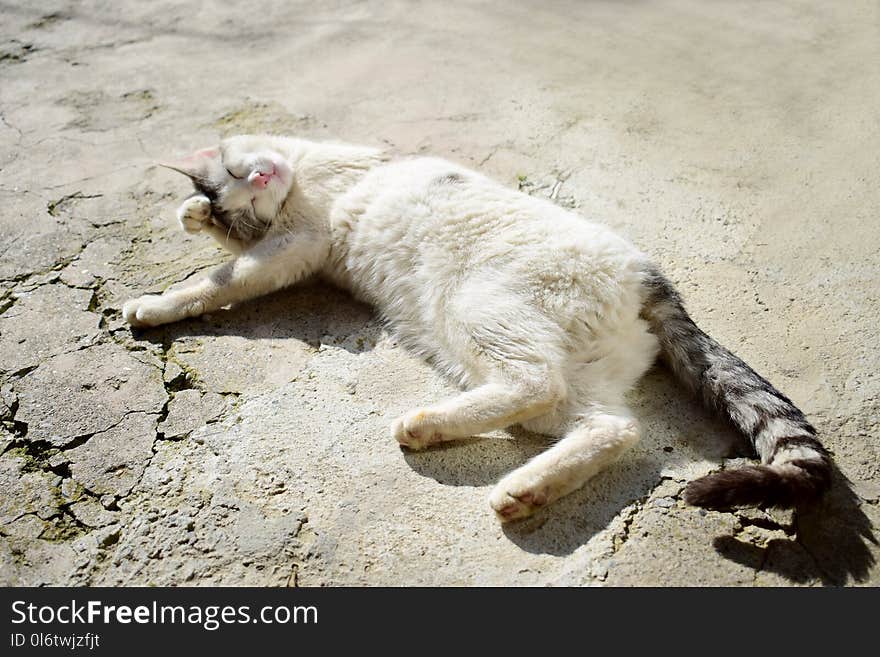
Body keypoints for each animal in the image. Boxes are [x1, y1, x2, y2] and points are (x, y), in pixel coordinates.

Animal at [124, 136, 832, 520]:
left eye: (237, 175)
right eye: (240, 194)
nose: (260, 175)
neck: (304, 182)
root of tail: (646, 274)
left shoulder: (297, 241)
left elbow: (219, 279)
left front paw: (157, 298)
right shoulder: (294, 249)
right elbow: (228, 272)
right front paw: (186, 245)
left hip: (480, 306)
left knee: (537, 384)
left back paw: (426, 427)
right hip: (560, 368)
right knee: (609, 424)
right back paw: (522, 487)